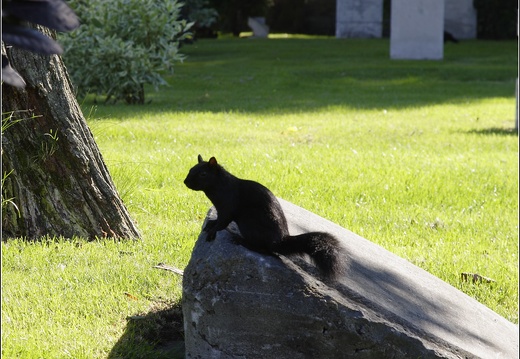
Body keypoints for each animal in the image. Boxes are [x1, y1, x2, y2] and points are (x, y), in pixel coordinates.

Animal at [184, 154, 346, 278]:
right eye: (190, 169)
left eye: (203, 174)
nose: (185, 182)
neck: (219, 186)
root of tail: (279, 241)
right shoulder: (221, 209)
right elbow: (218, 220)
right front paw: (211, 223)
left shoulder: (228, 207)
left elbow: (223, 222)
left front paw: (212, 231)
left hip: (250, 224)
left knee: (265, 250)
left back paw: (241, 240)